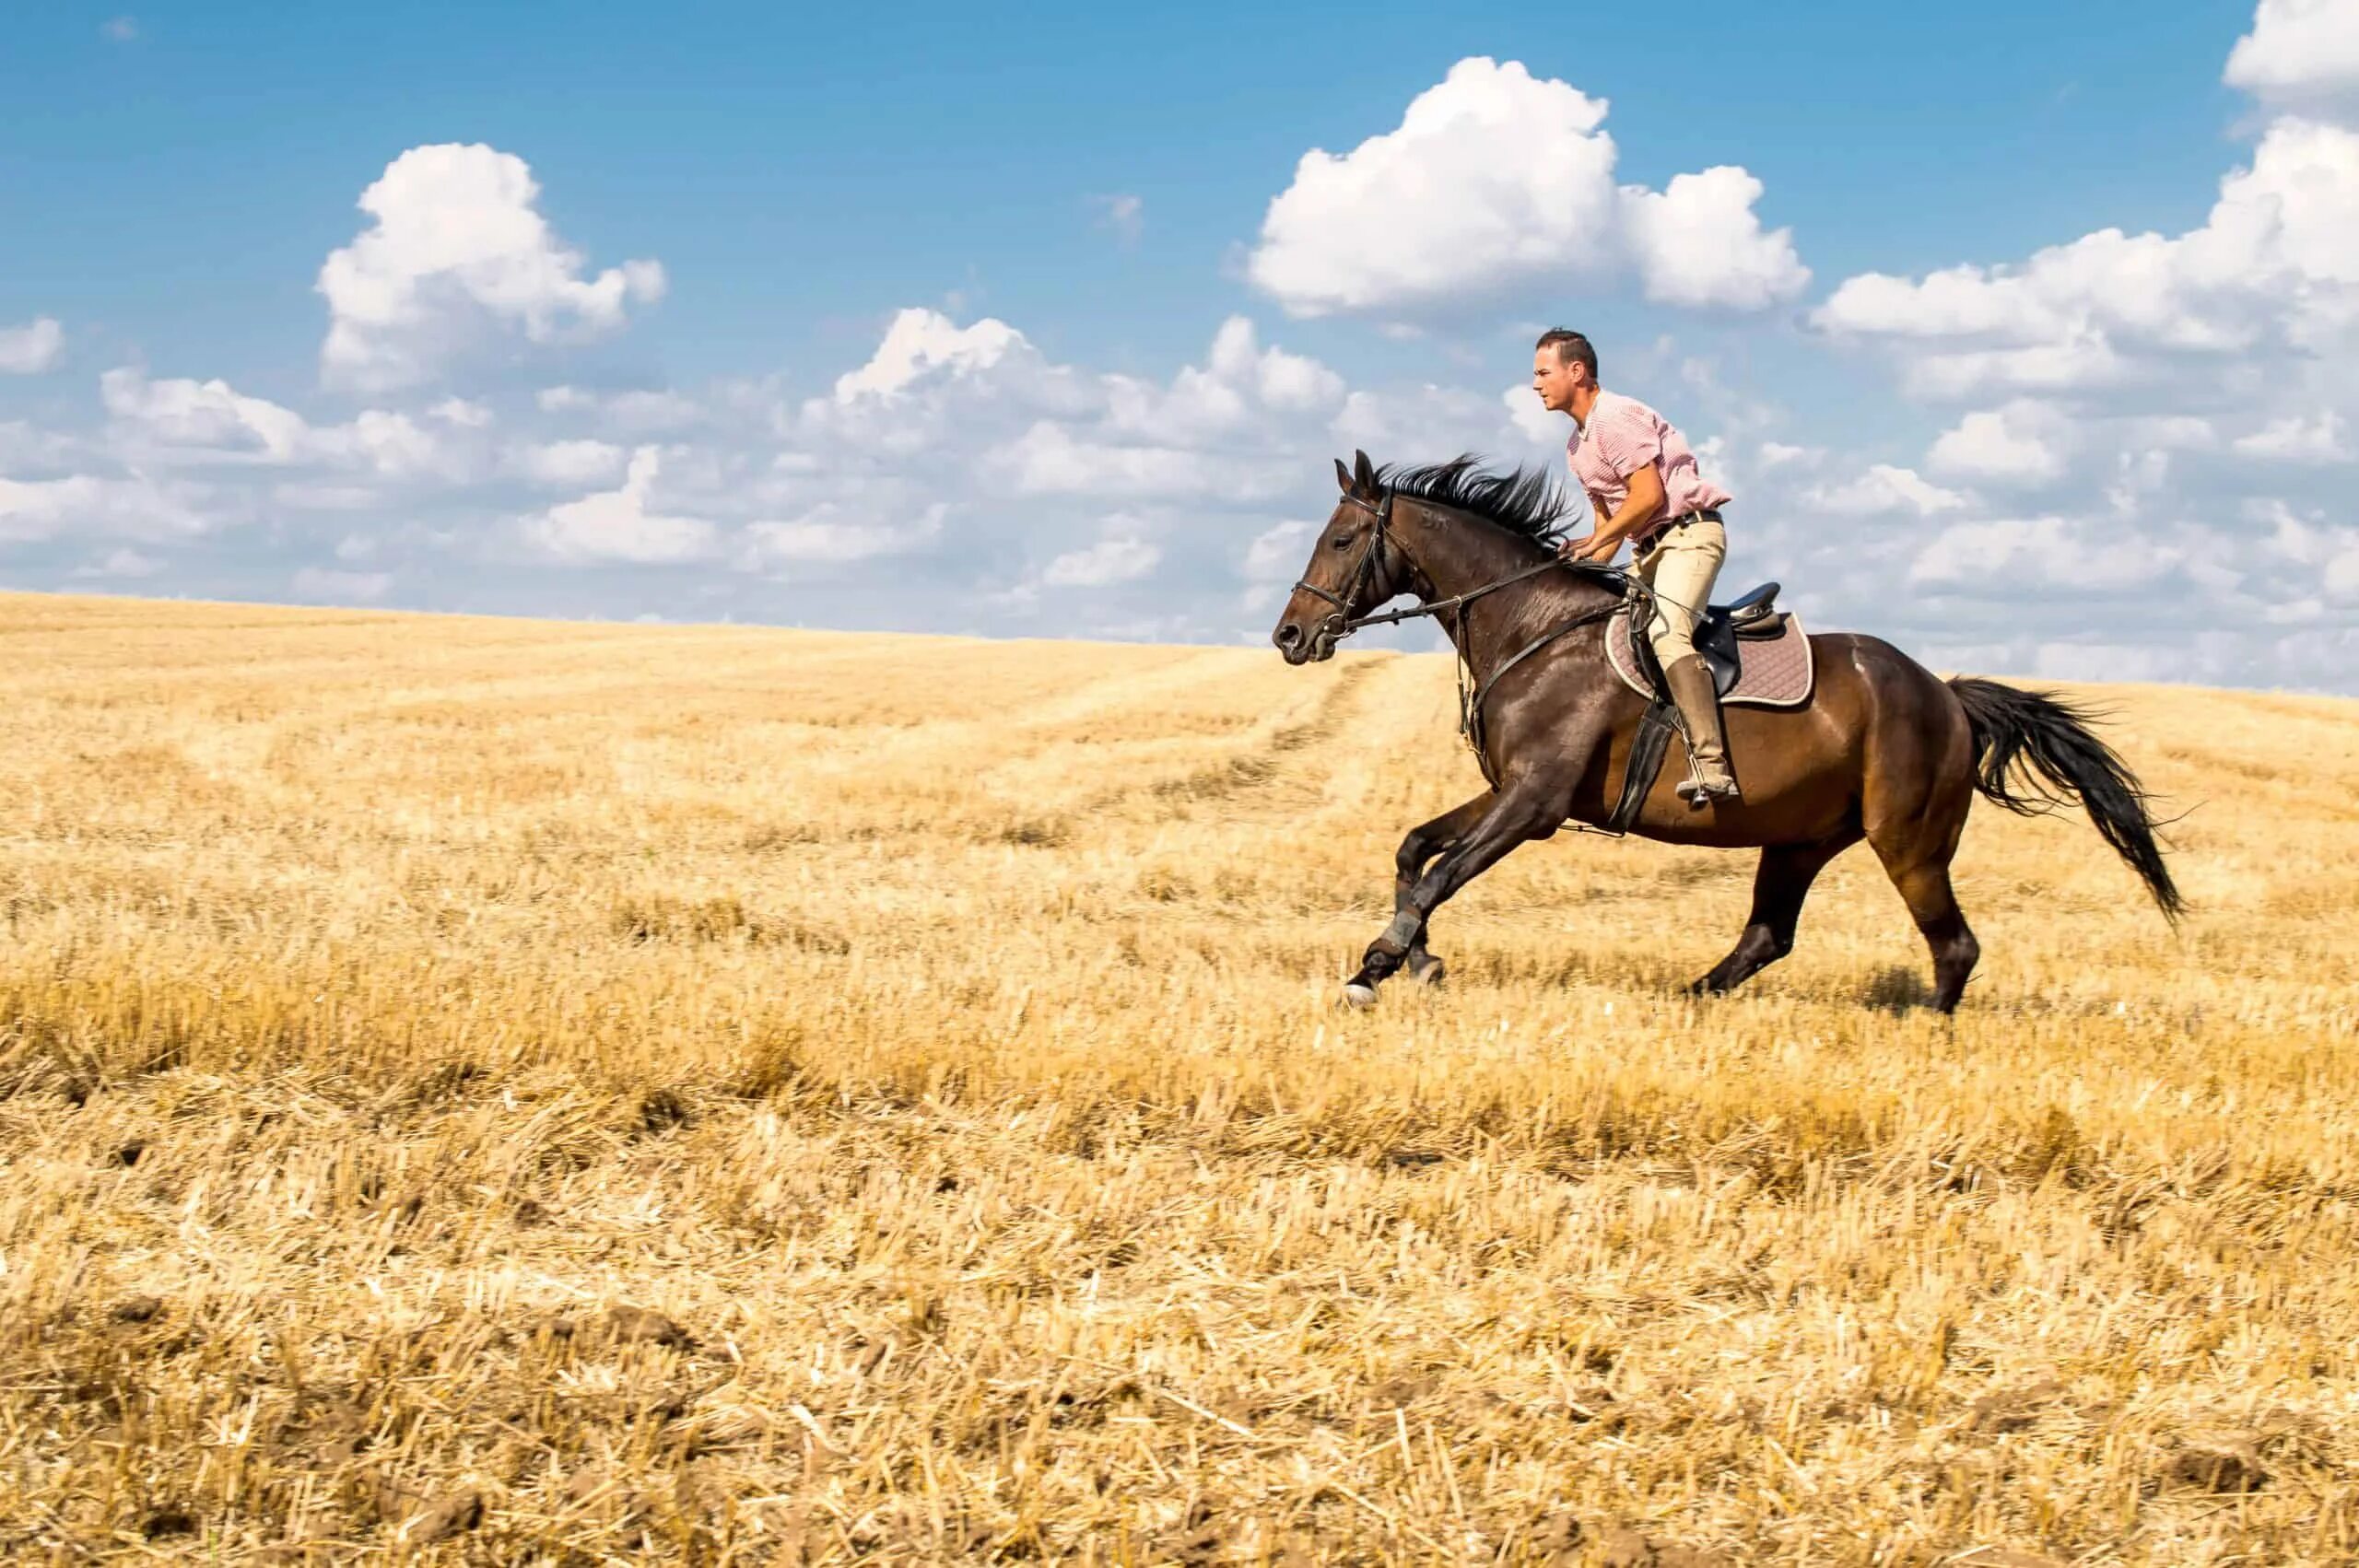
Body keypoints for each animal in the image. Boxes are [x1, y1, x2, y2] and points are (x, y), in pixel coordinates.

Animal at [1273, 452, 2170, 1013]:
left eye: (1342, 539)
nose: (1289, 636)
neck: (1532, 626)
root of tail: (1946, 696)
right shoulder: (1511, 790)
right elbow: (1415, 851)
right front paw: (1421, 959)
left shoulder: (1535, 803)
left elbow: (1441, 875)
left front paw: (1376, 966)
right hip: (1802, 838)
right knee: (1770, 935)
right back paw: (1693, 997)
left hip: (1908, 841)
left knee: (1954, 946)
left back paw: (1922, 1030)